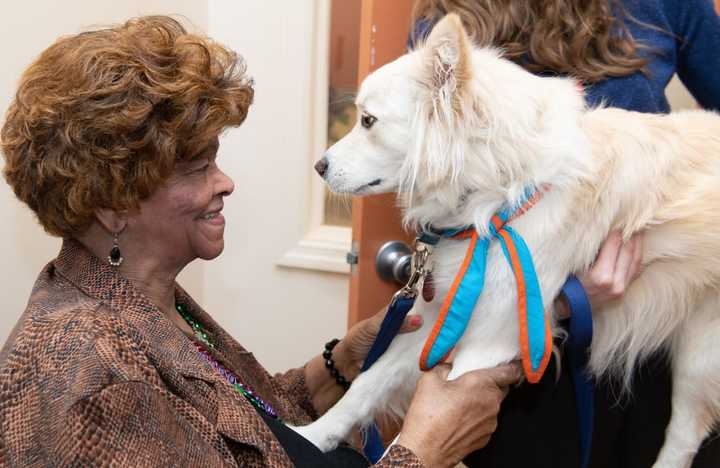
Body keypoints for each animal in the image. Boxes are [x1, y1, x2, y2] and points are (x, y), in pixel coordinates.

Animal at [292, 14, 720, 468]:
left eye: (368, 121)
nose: (319, 166)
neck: (497, 198)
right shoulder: (440, 318)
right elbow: (367, 385)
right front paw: (309, 434)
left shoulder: (490, 341)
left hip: (699, 360)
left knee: (683, 437)